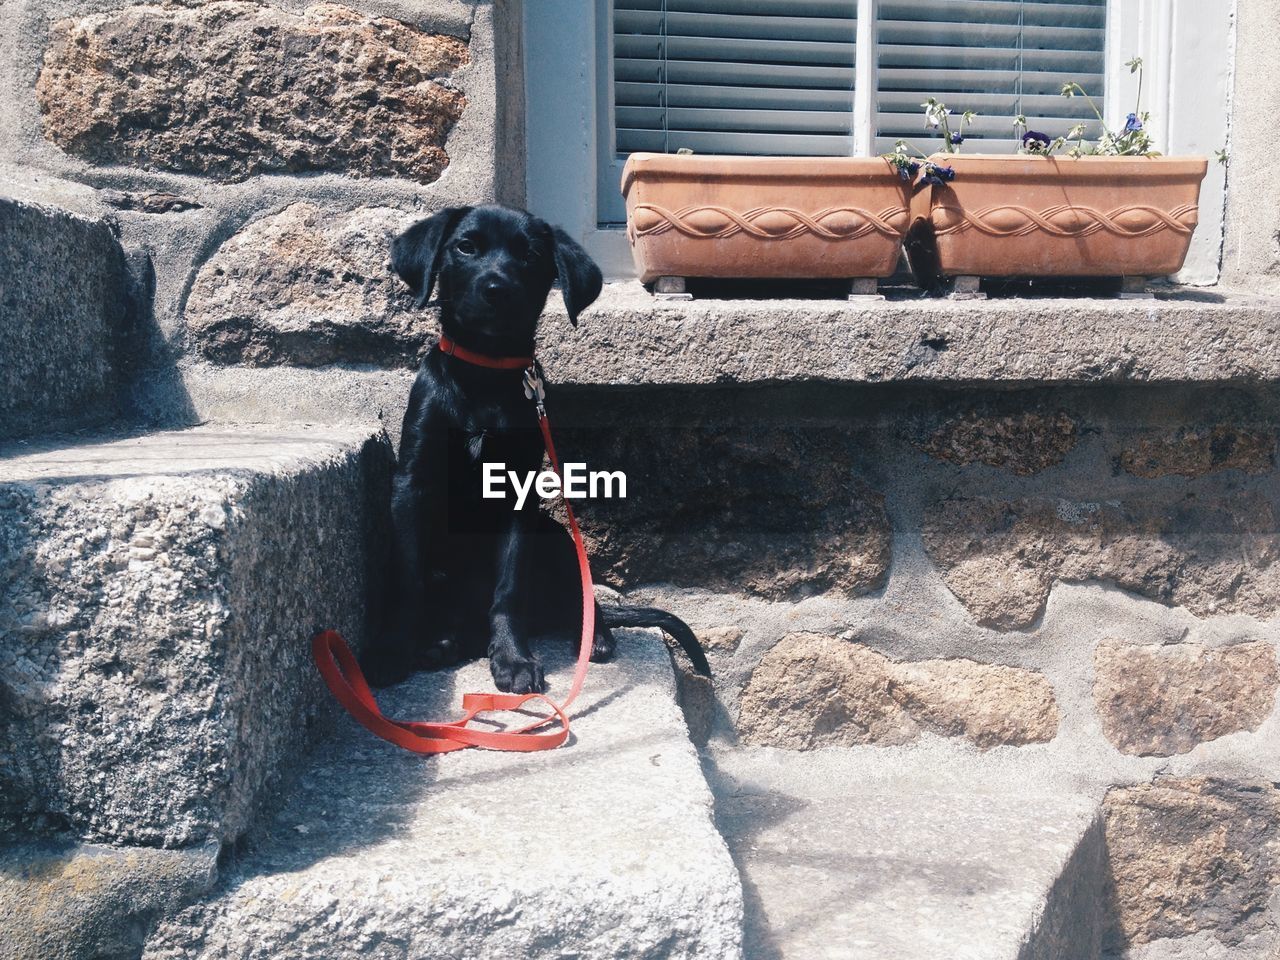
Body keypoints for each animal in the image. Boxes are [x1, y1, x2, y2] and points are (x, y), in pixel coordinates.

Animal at [371, 207, 711, 696]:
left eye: (529, 255)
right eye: (465, 247)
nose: (497, 289)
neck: (486, 376)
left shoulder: (518, 494)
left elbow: (510, 586)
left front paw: (513, 658)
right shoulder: (412, 484)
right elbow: (408, 576)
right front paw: (394, 647)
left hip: (553, 534)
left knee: (577, 597)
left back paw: (594, 636)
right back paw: (444, 641)